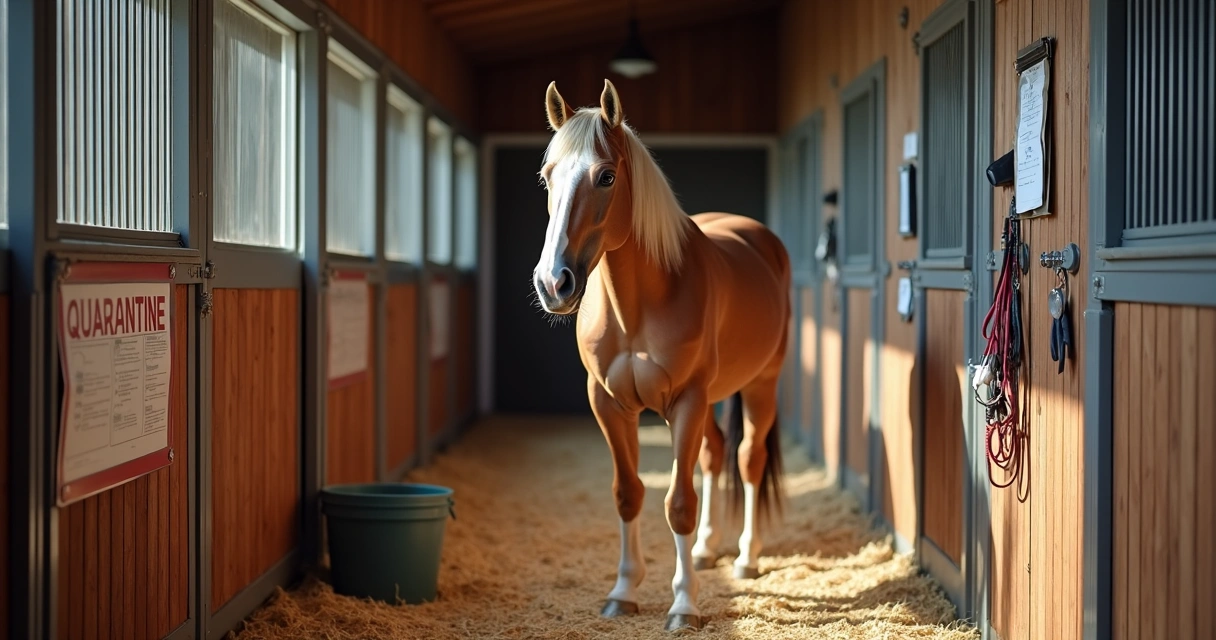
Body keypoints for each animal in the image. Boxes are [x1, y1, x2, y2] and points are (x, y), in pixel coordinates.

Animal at [530, 79, 790, 632]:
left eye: (606, 176)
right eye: (547, 177)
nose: (553, 283)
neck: (638, 307)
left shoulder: (686, 402)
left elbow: (678, 504)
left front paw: (684, 605)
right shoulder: (609, 404)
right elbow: (629, 493)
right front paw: (623, 592)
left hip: (761, 385)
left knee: (748, 459)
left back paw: (745, 557)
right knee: (715, 455)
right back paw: (708, 549)